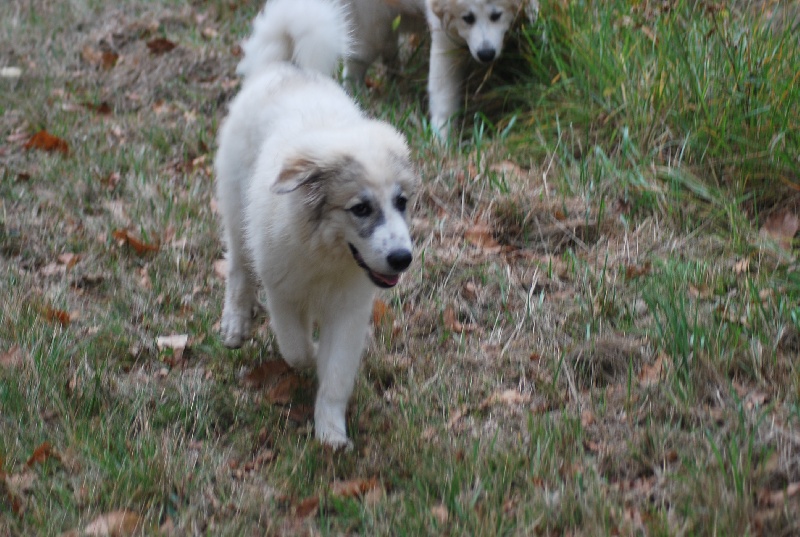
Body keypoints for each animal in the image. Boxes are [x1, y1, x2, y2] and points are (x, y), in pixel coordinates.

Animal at [216, 0, 422, 446]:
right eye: (360, 209)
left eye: (401, 202)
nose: (402, 259)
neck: (324, 255)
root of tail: (285, 67)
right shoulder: (283, 293)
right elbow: (296, 348)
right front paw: (308, 359)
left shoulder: (349, 311)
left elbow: (337, 376)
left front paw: (331, 436)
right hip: (236, 211)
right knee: (239, 267)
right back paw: (236, 322)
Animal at [342, 0, 536, 136]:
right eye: (468, 18)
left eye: (496, 15)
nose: (486, 54)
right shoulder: (445, 35)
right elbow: (443, 92)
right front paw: (442, 139)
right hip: (371, 24)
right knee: (357, 61)